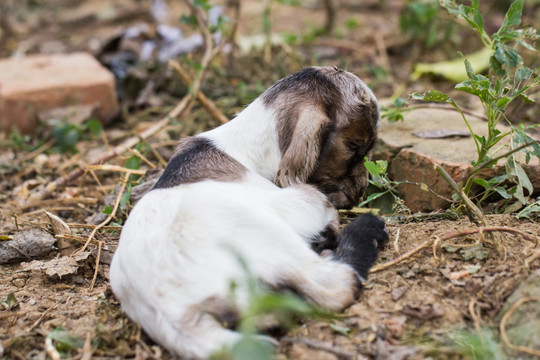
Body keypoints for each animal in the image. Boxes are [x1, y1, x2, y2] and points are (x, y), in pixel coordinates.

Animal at [109, 66, 388, 358]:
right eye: (355, 146)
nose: (362, 190)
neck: (242, 145)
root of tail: (172, 315)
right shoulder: (298, 201)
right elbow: (325, 207)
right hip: (268, 238)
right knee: (334, 284)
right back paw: (366, 230)